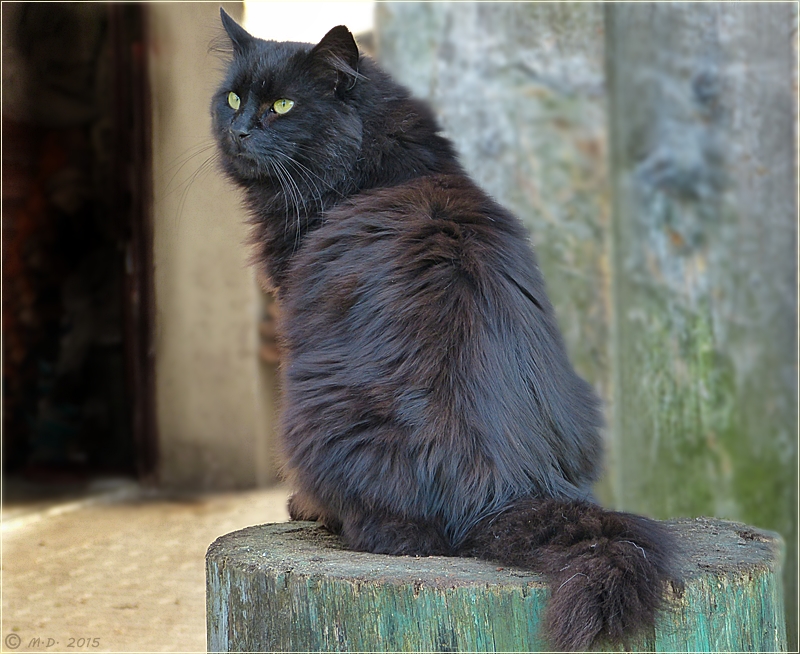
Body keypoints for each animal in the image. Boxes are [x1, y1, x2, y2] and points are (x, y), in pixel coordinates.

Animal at [212, 10, 676, 652]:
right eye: (233, 98)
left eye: (281, 105)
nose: (239, 131)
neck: (377, 166)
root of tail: (501, 490)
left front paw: (301, 507)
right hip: (587, 409)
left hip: (304, 413)